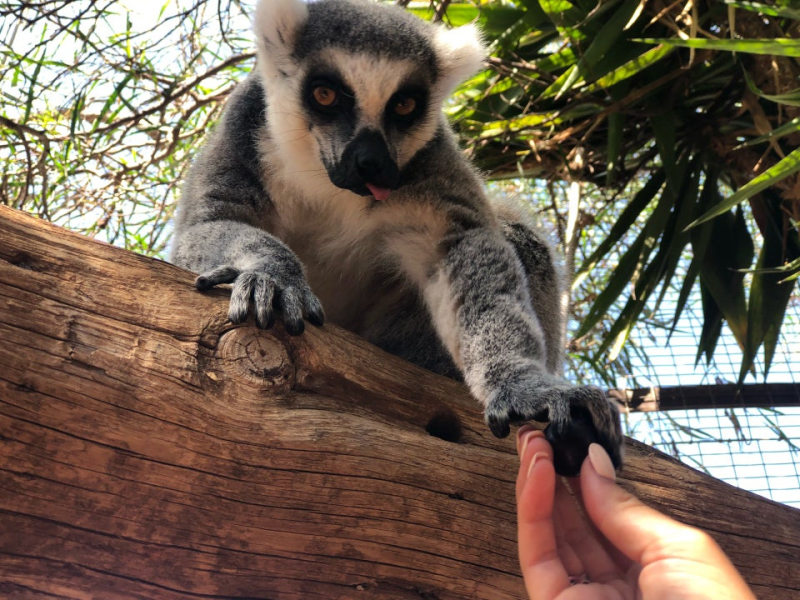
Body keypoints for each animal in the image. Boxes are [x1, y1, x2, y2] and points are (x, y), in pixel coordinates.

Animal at [170, 0, 623, 475]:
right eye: (325, 95)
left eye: (405, 105)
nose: (370, 164)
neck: (328, 183)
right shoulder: (244, 127)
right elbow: (203, 227)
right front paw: (271, 272)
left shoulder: (430, 158)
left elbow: (460, 248)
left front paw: (521, 383)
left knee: (519, 240)